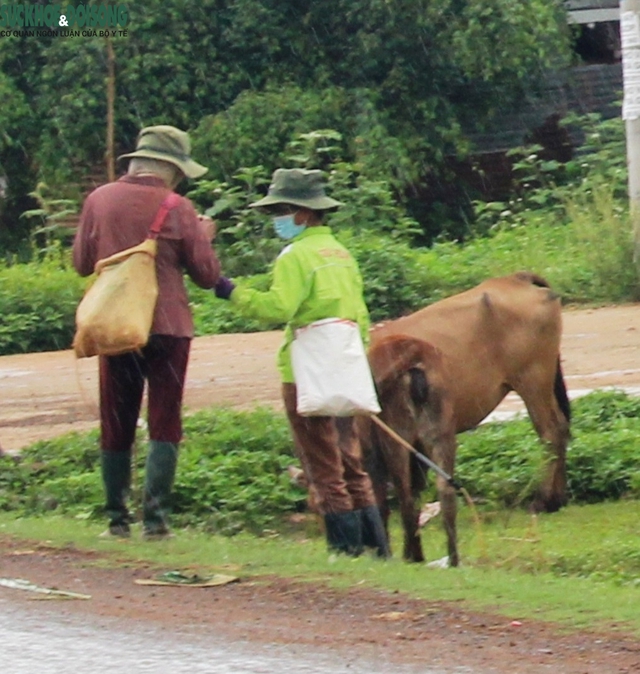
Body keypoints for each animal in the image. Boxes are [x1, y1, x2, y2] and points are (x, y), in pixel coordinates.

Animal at [358, 270, 572, 564]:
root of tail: (515, 278)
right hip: (541, 382)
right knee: (561, 427)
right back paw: (557, 499)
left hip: (532, 380)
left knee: (550, 432)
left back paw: (543, 500)